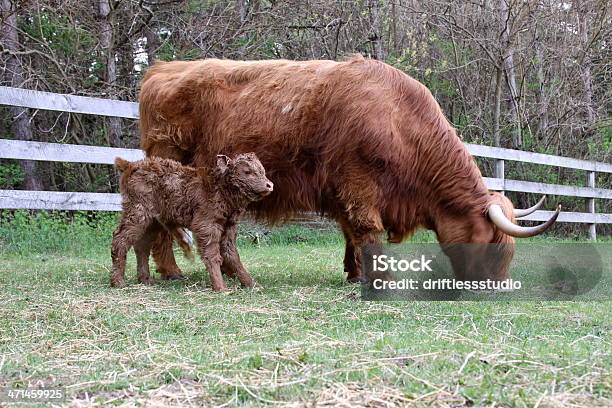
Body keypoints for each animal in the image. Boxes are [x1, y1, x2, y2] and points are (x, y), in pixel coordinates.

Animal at [110, 152, 272, 290]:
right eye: (247, 171)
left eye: (262, 171)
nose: (269, 185)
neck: (219, 190)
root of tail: (130, 164)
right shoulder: (206, 225)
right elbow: (212, 255)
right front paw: (221, 287)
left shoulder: (229, 227)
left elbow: (232, 254)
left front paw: (252, 284)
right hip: (137, 212)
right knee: (120, 239)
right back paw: (118, 282)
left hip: (152, 221)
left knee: (142, 246)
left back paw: (145, 280)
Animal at [139, 55, 560, 284]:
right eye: (491, 244)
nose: (495, 287)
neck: (399, 122)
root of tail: (162, 69)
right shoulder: (359, 182)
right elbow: (366, 229)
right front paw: (380, 277)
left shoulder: (344, 189)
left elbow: (350, 233)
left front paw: (356, 272)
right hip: (169, 166)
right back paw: (171, 270)